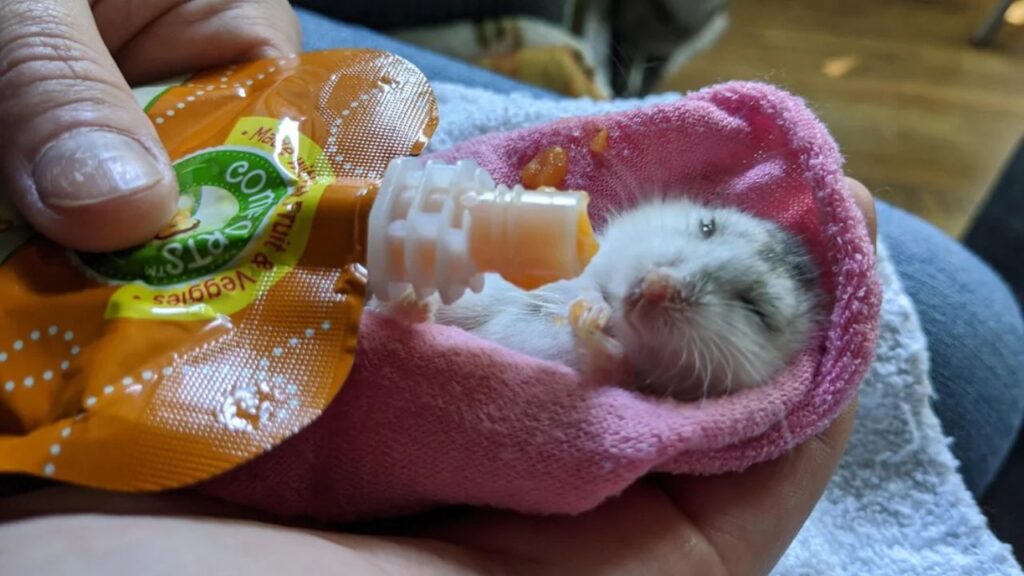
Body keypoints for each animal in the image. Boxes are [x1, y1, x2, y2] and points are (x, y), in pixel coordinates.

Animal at [370, 197, 823, 401]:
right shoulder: (590, 265)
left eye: (756, 308)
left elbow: (617, 365)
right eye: (707, 227)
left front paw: (593, 329)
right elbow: (588, 282)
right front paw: (593, 311)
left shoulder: (639, 384)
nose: (654, 284)